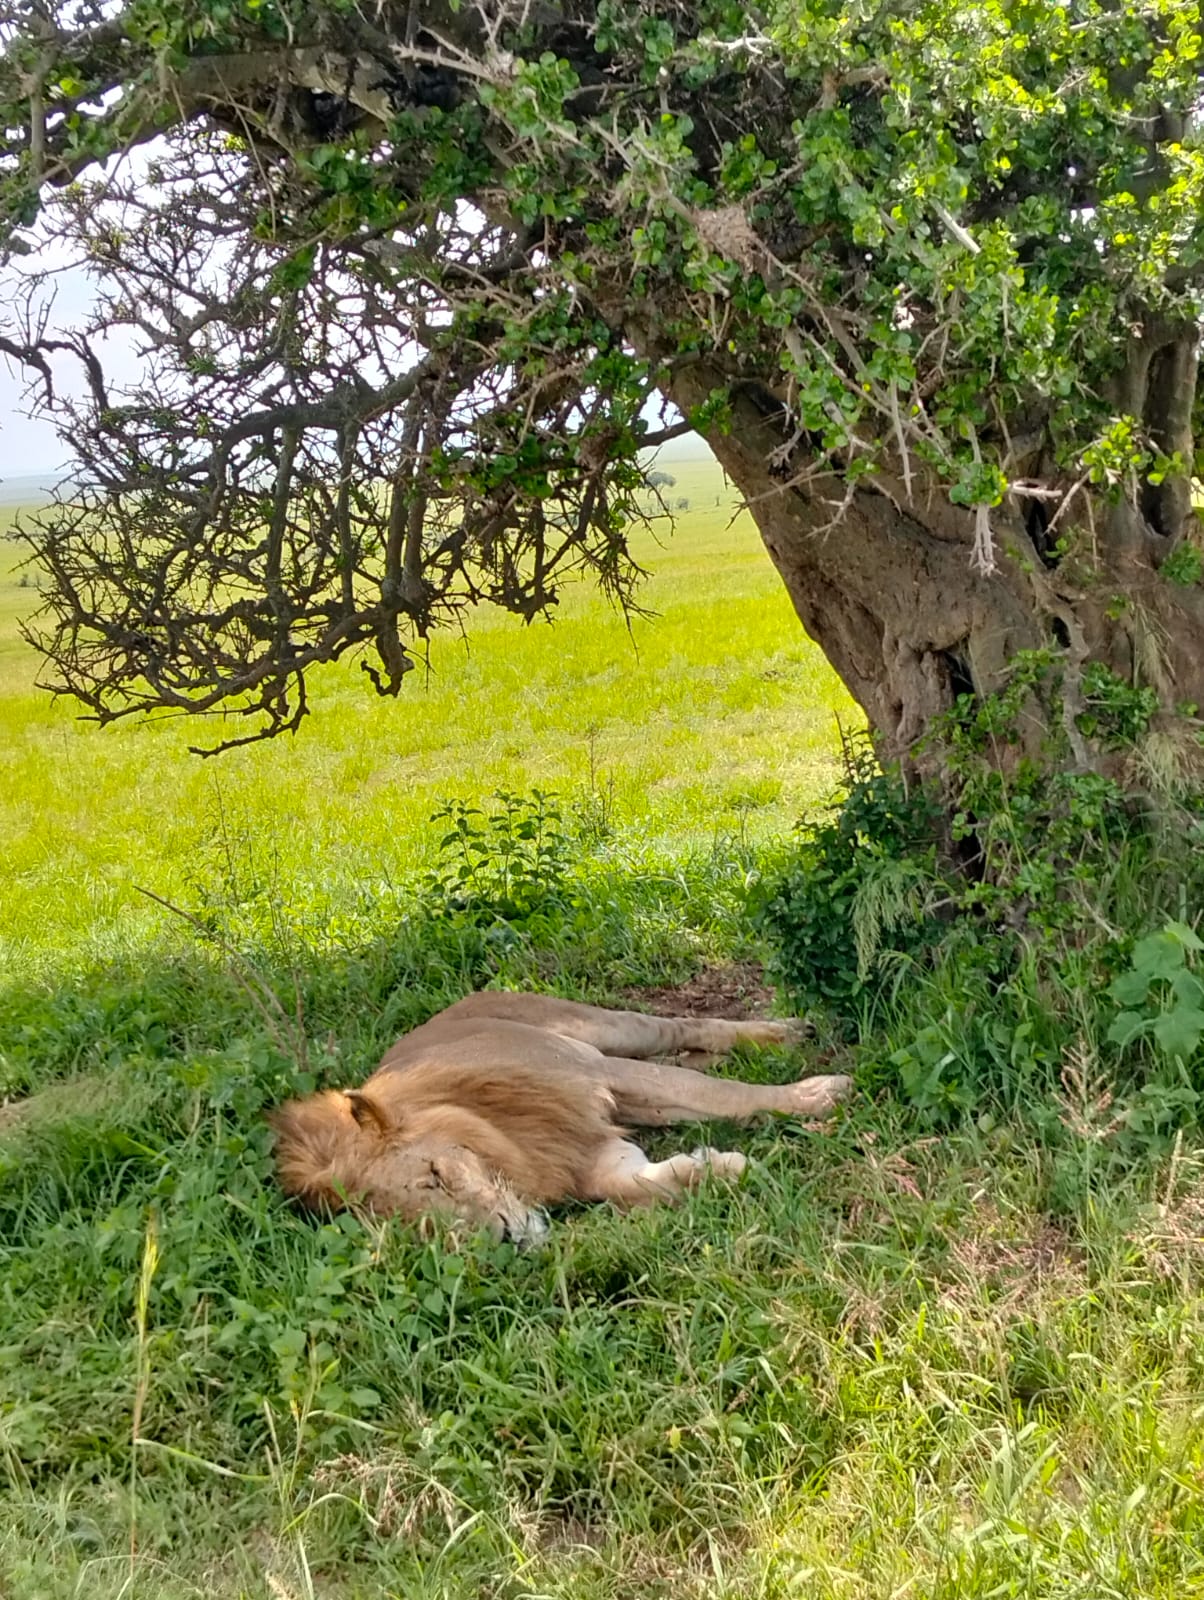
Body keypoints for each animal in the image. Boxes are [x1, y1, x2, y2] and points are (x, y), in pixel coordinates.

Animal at [270, 991, 851, 1244]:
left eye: (435, 1174)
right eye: (414, 1223)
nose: (506, 1240)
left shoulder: (592, 1073)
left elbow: (718, 1094)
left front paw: (818, 1096)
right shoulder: (590, 1156)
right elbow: (636, 1185)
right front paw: (720, 1168)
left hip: (600, 1028)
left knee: (681, 1029)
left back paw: (785, 1034)